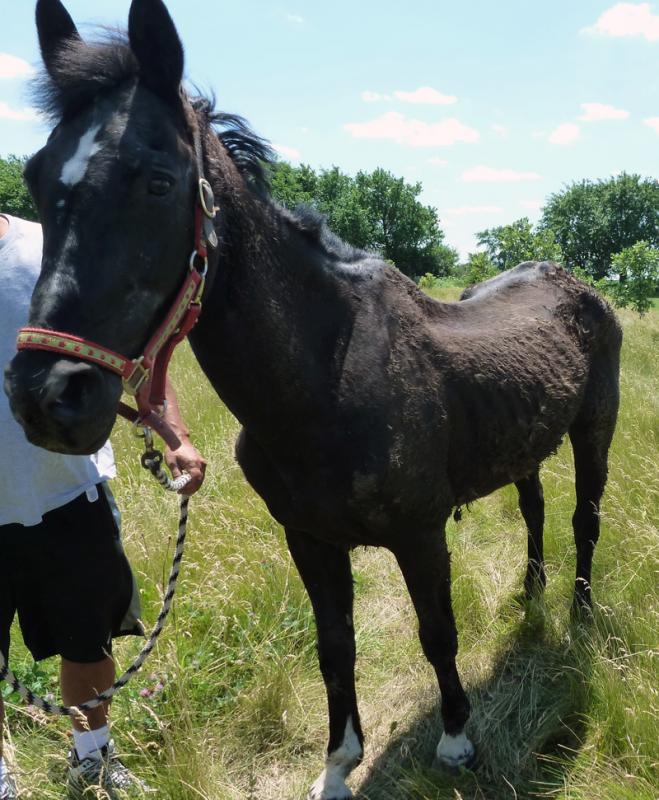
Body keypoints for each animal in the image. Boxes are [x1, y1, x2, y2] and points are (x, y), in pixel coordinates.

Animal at [4, 1, 622, 797]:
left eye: (159, 182)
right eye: (35, 174)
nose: (46, 397)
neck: (325, 386)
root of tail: (575, 285)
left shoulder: (420, 535)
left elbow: (437, 632)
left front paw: (456, 740)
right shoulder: (307, 539)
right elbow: (335, 648)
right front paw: (337, 763)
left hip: (593, 431)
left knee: (582, 518)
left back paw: (577, 611)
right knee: (535, 510)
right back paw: (531, 594)